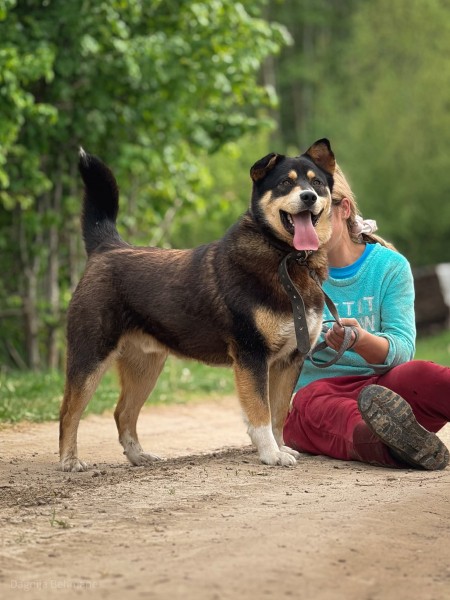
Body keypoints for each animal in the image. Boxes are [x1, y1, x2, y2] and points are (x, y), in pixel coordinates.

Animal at [59, 139, 335, 471]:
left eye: (316, 183)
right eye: (285, 183)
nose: (308, 197)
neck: (287, 260)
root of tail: (107, 247)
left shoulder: (290, 359)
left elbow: (279, 415)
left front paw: (280, 448)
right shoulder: (251, 355)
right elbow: (261, 414)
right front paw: (271, 454)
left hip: (145, 366)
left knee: (122, 412)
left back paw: (139, 456)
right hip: (90, 357)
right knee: (68, 412)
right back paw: (70, 460)